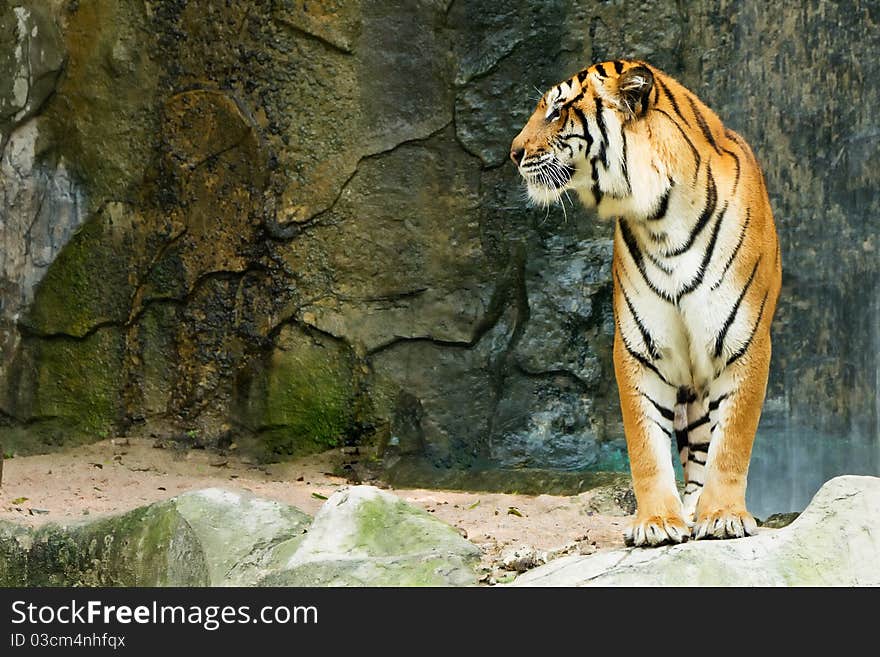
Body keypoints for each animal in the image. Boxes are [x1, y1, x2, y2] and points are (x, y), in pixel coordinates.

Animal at [512, 60, 780, 544]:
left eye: (557, 111)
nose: (512, 153)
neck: (662, 216)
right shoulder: (642, 346)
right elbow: (645, 445)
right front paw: (657, 522)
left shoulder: (743, 341)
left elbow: (732, 441)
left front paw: (723, 516)